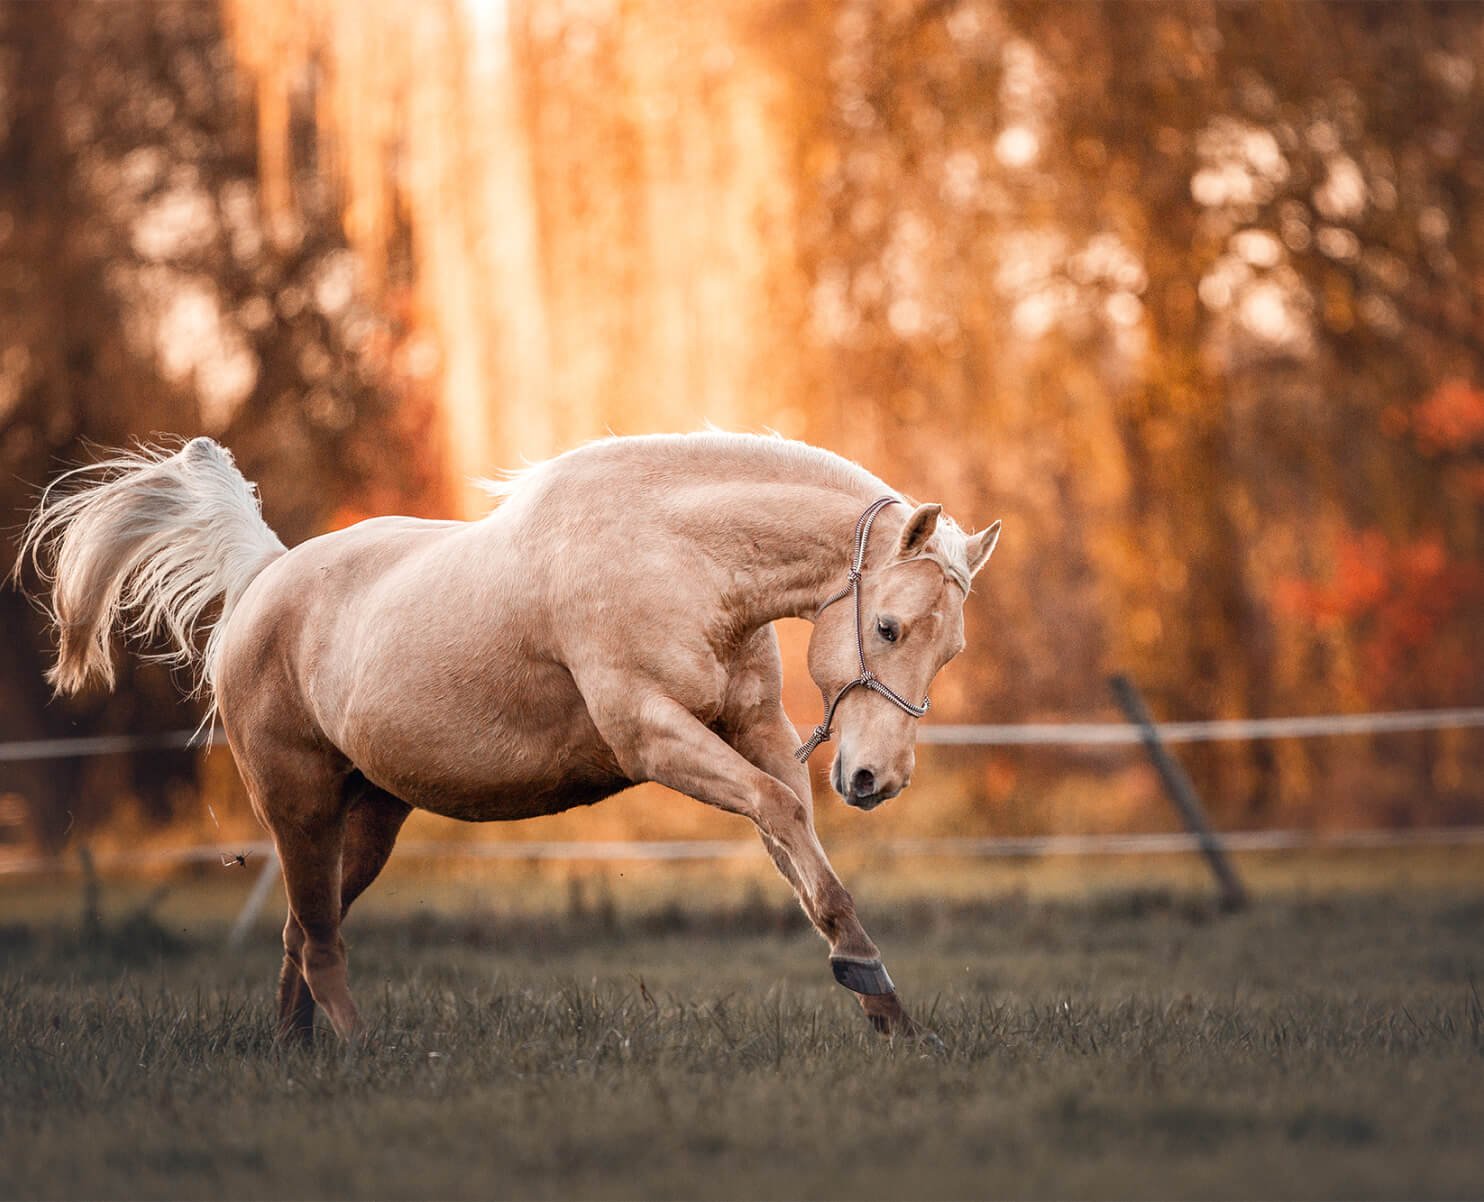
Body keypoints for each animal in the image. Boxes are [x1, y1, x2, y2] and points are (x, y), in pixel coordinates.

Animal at [20, 430, 997, 1038]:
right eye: (889, 628)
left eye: (950, 648)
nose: (876, 778)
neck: (675, 553)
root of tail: (264, 578)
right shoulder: (654, 737)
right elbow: (779, 814)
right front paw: (865, 978)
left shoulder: (751, 729)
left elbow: (799, 846)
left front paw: (882, 1001)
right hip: (298, 805)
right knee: (320, 939)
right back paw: (362, 1051)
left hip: (368, 819)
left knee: (304, 930)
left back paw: (298, 1058)